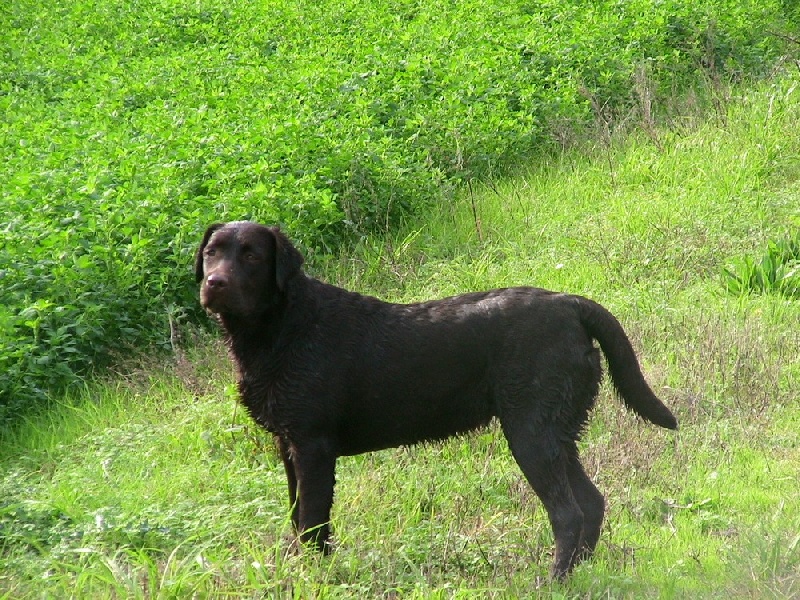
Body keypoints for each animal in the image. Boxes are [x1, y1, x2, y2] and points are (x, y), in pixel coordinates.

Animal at [194, 220, 676, 576]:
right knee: (591, 504)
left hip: (531, 433)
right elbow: (298, 520)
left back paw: (552, 581)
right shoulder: (288, 444)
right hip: (556, 433)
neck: (284, 328)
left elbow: (313, 523)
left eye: (252, 255)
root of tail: (569, 302)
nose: (214, 284)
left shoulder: (313, 446)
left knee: (568, 513)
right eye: (211, 253)